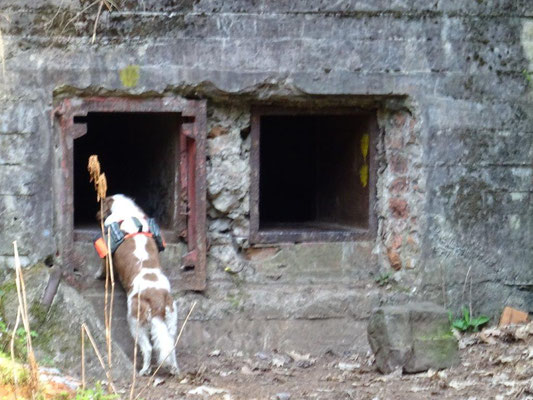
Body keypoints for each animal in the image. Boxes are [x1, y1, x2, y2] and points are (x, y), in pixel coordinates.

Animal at [95, 194, 179, 376]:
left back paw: (144, 370)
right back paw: (174, 369)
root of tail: (157, 300)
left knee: (148, 348)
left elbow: (103, 267)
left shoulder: (107, 252)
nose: (97, 216)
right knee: (170, 346)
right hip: (171, 320)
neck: (127, 214)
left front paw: (98, 275)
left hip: (135, 322)